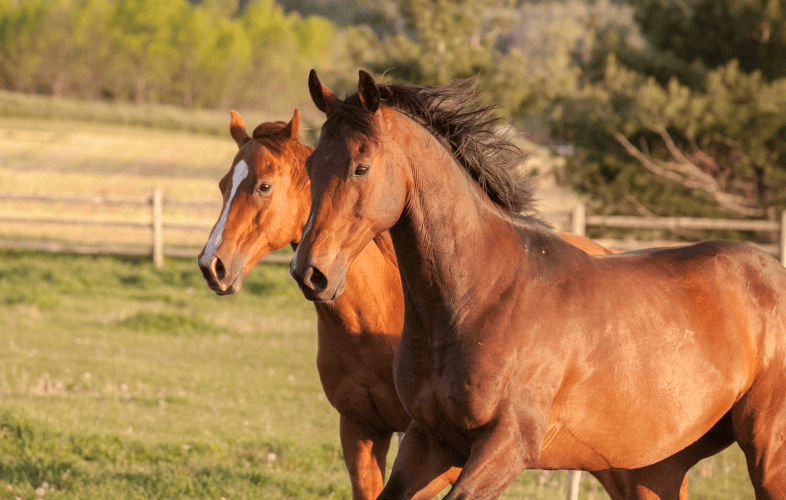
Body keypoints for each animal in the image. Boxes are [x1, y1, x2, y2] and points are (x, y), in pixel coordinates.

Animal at [195, 111, 689, 499]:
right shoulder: (362, 429)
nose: (211, 265)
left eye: (263, 185)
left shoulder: (448, 447)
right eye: (222, 184)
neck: (373, 317)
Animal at [291, 69, 786, 500]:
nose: (309, 272)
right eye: (311, 164)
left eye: (360, 167)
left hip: (767, 453)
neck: (479, 298)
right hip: (655, 470)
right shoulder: (429, 441)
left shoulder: (506, 446)